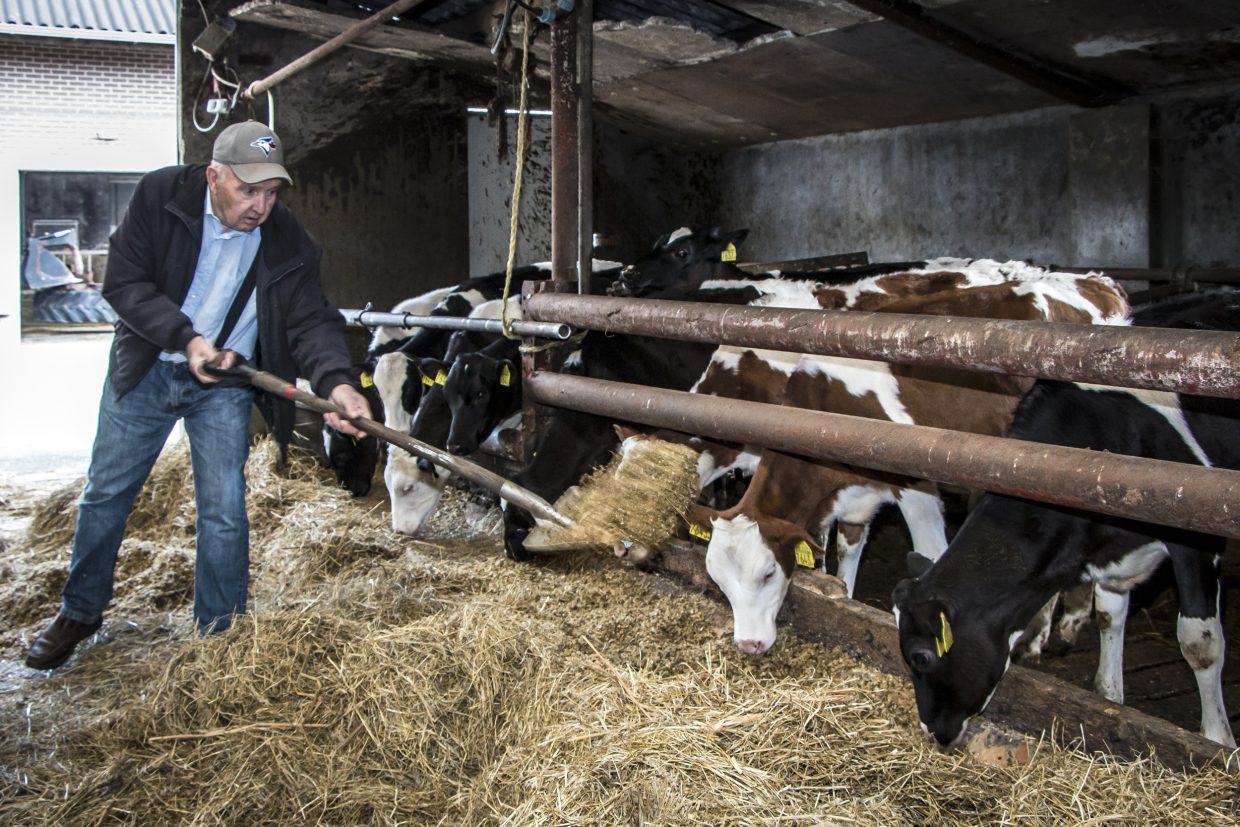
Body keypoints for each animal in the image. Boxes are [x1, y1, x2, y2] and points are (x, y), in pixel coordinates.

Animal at [892, 287, 1240, 748]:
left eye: (922, 657)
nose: (931, 731)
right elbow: (1109, 614)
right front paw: (1110, 698)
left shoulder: (1194, 540)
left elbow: (1199, 643)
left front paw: (1218, 741)